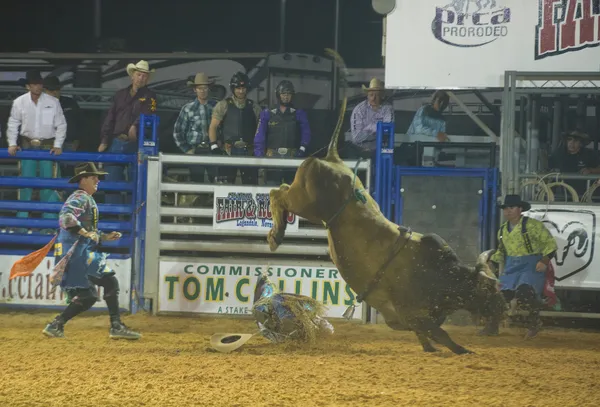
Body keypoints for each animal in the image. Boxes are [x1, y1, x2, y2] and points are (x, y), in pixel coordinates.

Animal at [268, 48, 506, 354]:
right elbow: (441, 334)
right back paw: (276, 235)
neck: (439, 274)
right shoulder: (411, 312)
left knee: (281, 190)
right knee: (278, 194)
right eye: (488, 289)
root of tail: (331, 158)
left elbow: (427, 336)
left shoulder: (411, 319)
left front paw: (432, 349)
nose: (504, 309)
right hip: (306, 202)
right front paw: (463, 351)